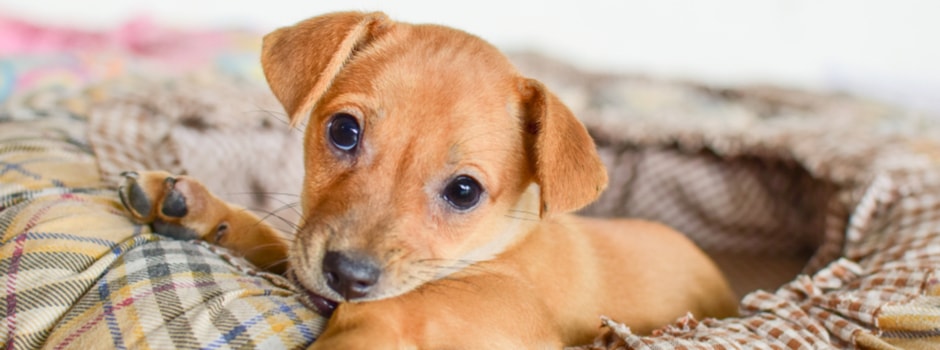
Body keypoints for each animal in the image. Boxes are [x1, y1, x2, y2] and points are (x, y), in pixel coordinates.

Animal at [117, 10, 740, 350]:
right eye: (343, 131)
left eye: (464, 191)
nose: (347, 276)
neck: (494, 248)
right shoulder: (305, 254)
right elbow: (275, 238)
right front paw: (201, 209)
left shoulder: (511, 309)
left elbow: (394, 305)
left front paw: (350, 334)